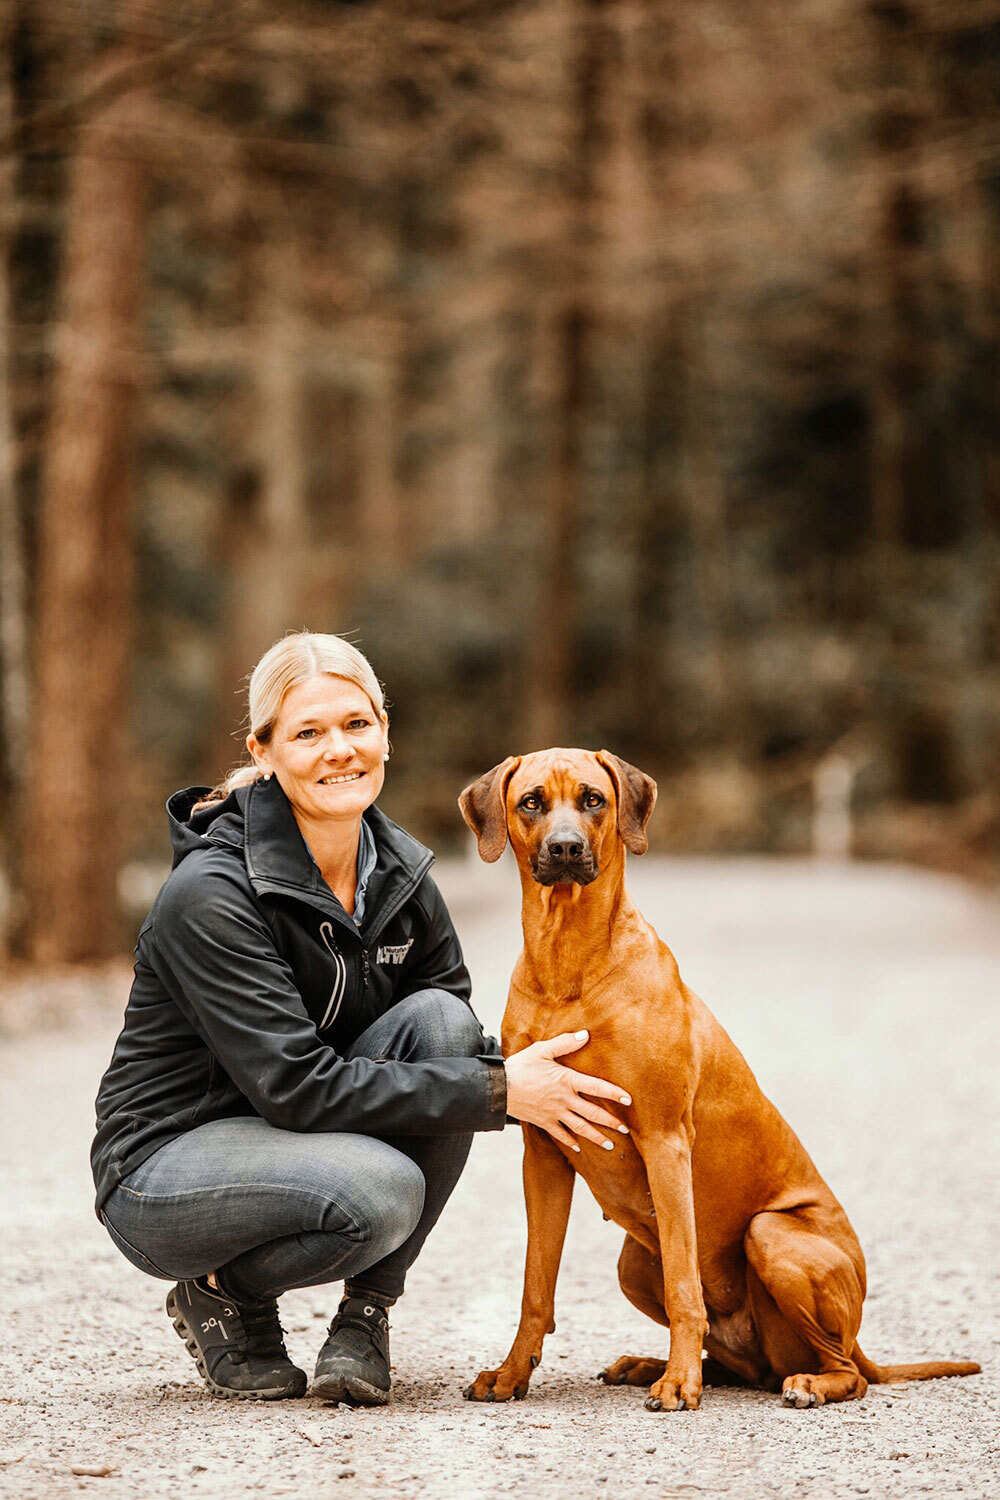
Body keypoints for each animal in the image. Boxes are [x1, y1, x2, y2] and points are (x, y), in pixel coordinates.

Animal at [458, 756, 983, 1410]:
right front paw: (511, 1373)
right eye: (531, 802)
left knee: (845, 1372)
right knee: (742, 1364)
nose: (566, 848)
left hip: (770, 1235)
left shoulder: (663, 1139)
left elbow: (685, 1285)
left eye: (592, 799)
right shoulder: (544, 1150)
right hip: (635, 1264)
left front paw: (680, 1383)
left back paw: (799, 1382)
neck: (568, 960)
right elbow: (536, 1285)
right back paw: (649, 1363)